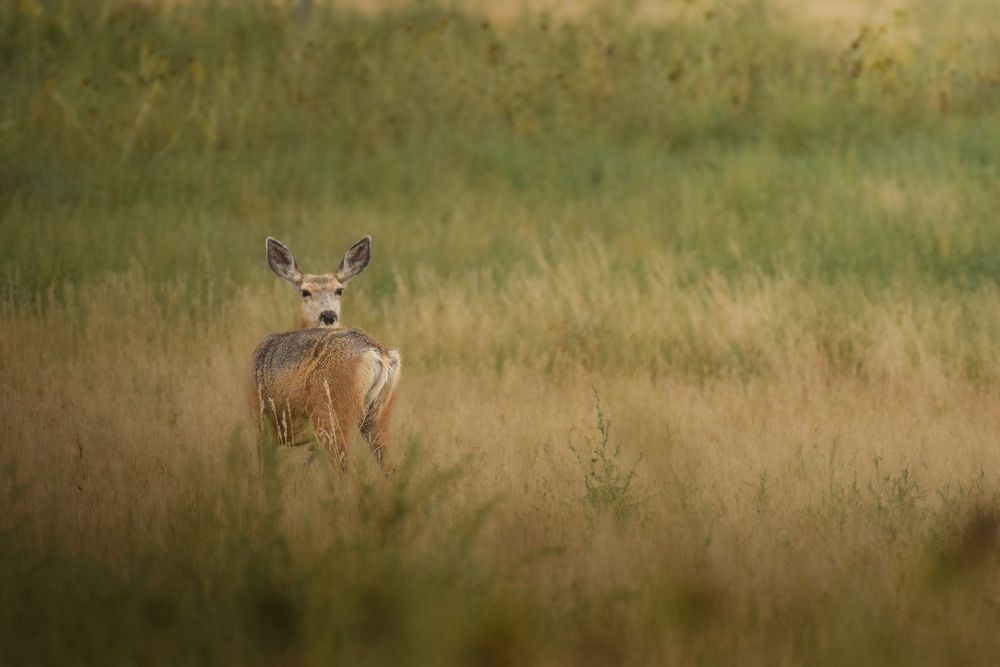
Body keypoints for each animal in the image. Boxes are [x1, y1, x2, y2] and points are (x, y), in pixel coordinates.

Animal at [251, 235, 400, 473]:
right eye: (305, 292)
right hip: (378, 415)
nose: (328, 315)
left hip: (331, 413)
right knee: (390, 466)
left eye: (339, 290)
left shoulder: (260, 419)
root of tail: (377, 353)